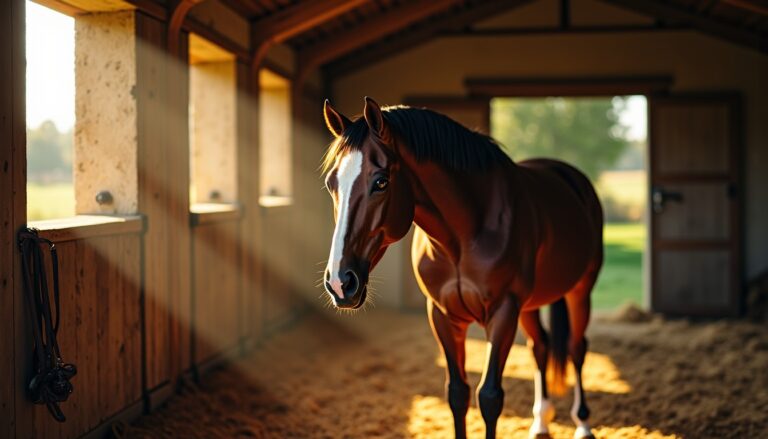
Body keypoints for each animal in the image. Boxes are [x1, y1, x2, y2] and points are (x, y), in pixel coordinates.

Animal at [321, 97, 603, 439]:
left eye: (381, 182)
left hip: (580, 290)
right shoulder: (443, 315)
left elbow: (490, 397)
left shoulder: (503, 312)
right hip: (530, 306)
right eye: (331, 183)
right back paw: (540, 422)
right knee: (541, 346)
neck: (464, 234)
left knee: (576, 347)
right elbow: (457, 393)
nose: (340, 283)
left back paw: (583, 424)